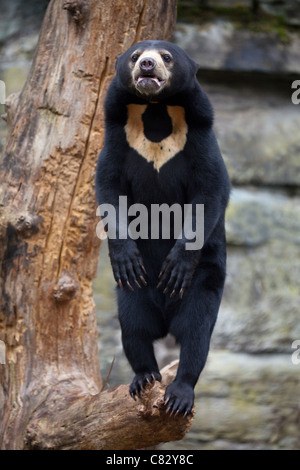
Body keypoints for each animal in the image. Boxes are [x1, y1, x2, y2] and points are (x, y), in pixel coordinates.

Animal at [95, 40, 231, 414]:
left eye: (166, 58)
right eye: (134, 55)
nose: (145, 65)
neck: (155, 111)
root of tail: (166, 317)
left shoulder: (200, 135)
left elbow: (209, 192)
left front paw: (175, 266)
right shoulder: (118, 136)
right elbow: (108, 187)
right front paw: (124, 256)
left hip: (206, 279)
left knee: (196, 334)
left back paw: (180, 394)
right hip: (133, 293)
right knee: (135, 328)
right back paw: (144, 379)